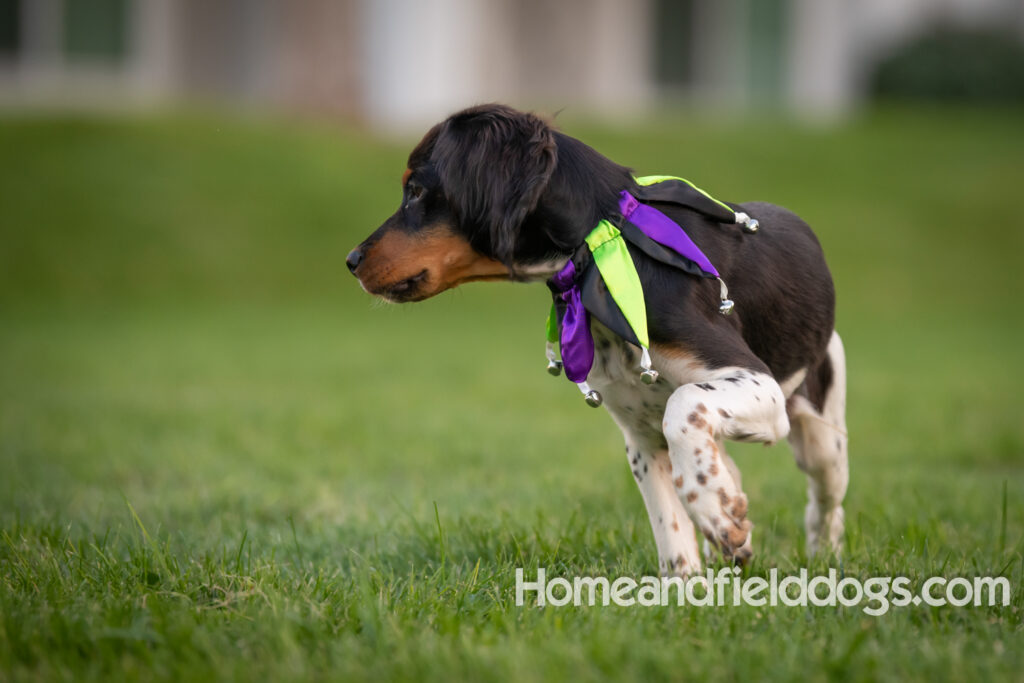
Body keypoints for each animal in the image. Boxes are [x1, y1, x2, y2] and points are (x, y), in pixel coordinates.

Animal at [350, 104, 847, 573]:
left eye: (416, 190)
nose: (352, 261)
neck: (603, 250)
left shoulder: (754, 381)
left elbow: (683, 405)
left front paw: (717, 513)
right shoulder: (641, 435)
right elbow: (672, 533)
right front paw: (693, 578)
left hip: (821, 426)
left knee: (825, 501)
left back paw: (822, 557)